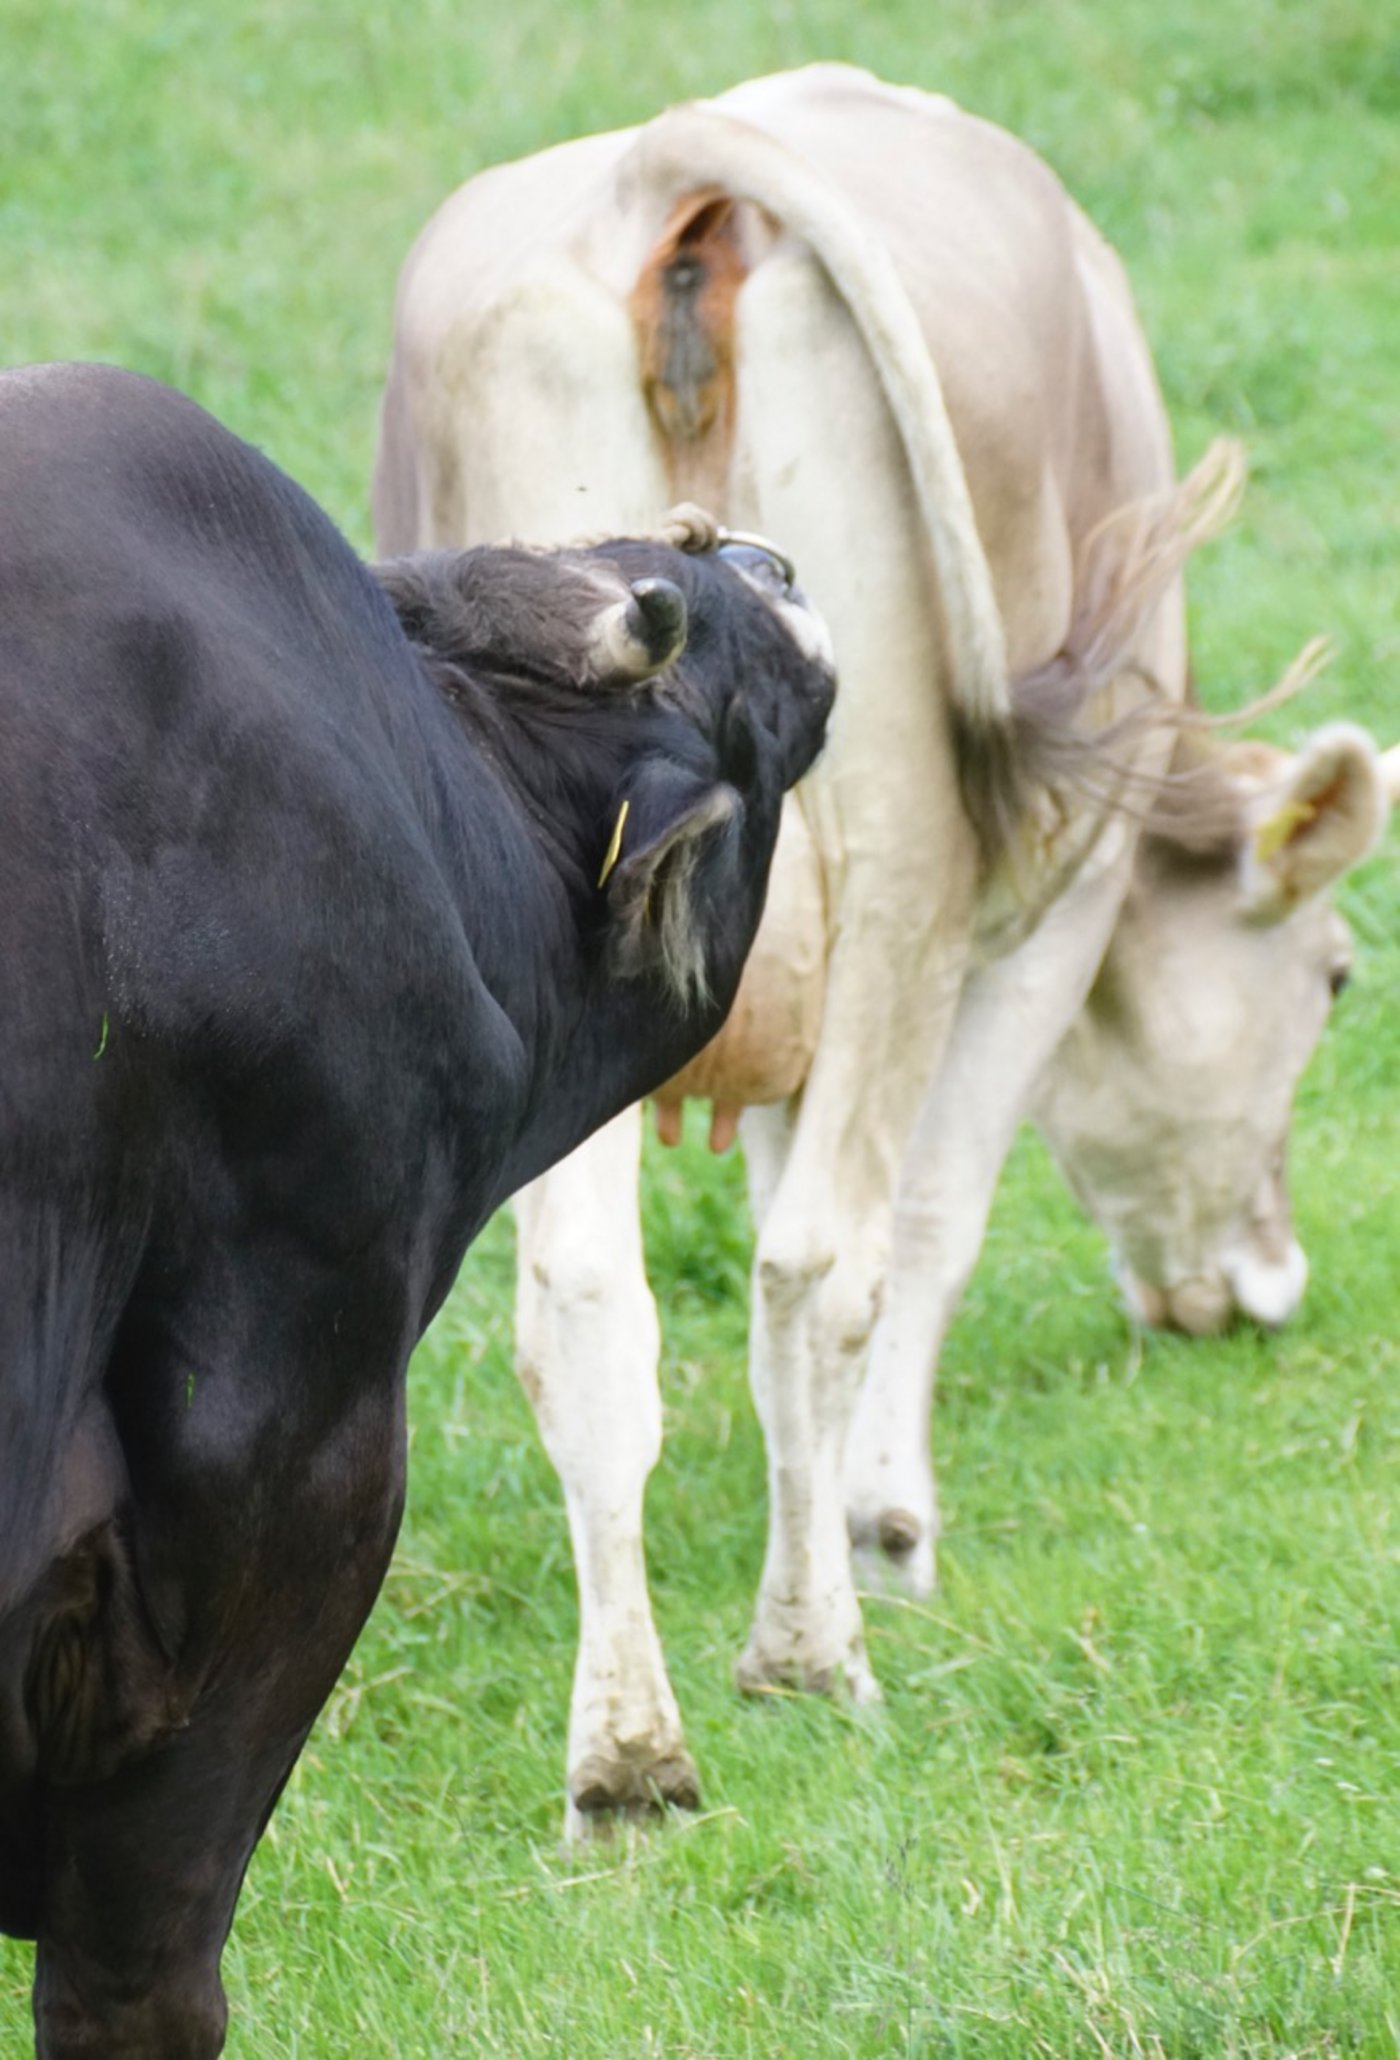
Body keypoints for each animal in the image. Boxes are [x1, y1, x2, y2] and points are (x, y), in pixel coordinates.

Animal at [373, 63, 1396, 1835]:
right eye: (1333, 981)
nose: (1266, 1287)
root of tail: (672, 173)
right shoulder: (1049, 920)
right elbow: (931, 1223)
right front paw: (884, 1527)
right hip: (911, 855)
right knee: (822, 1264)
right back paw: (810, 1654)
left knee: (585, 1295)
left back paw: (626, 1758)